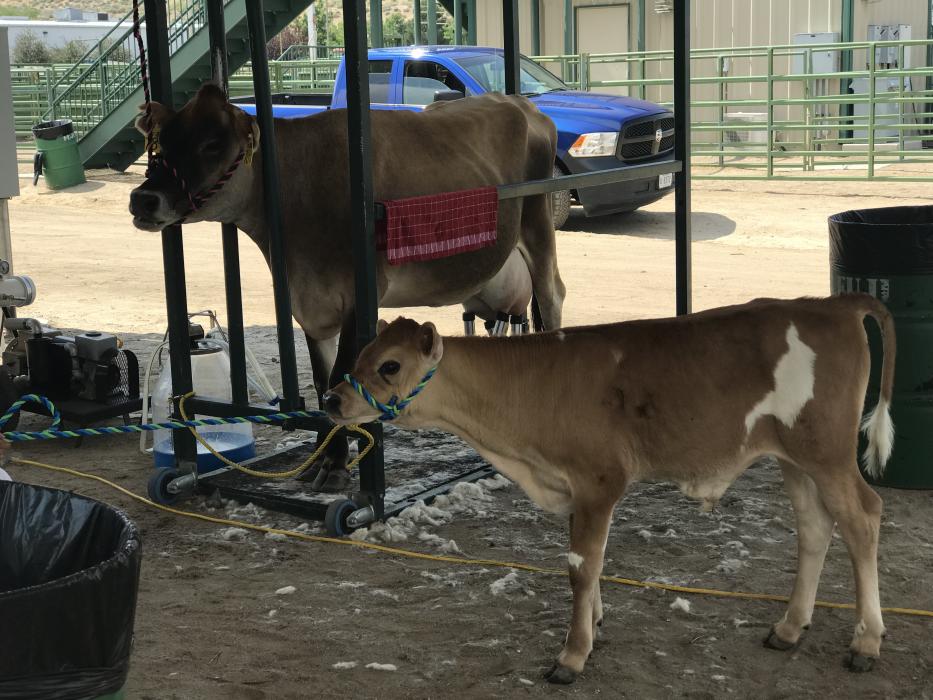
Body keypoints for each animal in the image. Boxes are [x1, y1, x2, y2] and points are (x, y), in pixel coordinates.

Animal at [129, 84, 565, 492]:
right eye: (161, 143)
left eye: (212, 144)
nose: (142, 198)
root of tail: (519, 102)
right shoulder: (310, 306)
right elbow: (324, 382)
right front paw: (324, 458)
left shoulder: (360, 294)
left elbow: (339, 375)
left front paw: (336, 467)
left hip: (538, 224)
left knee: (552, 295)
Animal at [323, 294, 895, 683]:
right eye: (361, 352)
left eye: (390, 365)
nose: (331, 400)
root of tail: (831, 303)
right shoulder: (574, 490)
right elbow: (590, 565)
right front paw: (593, 626)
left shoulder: (599, 480)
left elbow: (581, 567)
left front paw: (572, 654)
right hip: (795, 459)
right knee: (815, 528)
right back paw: (789, 627)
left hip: (828, 453)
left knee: (863, 518)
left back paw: (866, 642)